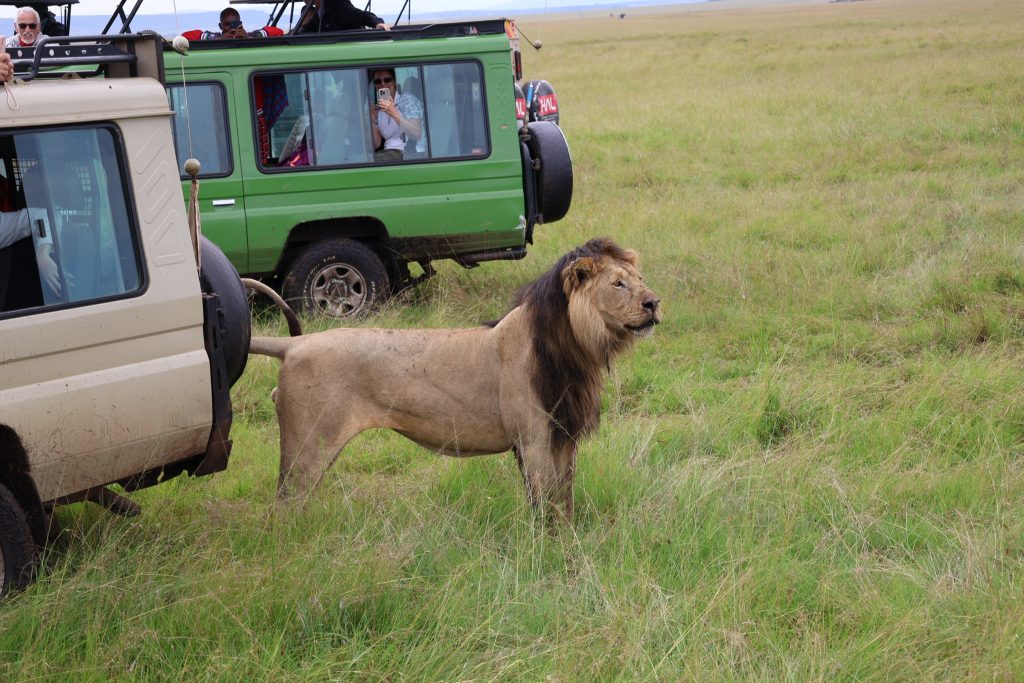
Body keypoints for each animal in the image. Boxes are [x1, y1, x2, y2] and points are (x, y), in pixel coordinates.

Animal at [248, 238, 661, 521]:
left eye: (640, 279)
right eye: (619, 284)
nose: (654, 303)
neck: (576, 349)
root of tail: (294, 344)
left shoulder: (564, 437)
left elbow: (565, 499)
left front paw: (568, 537)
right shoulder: (533, 439)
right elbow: (543, 503)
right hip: (306, 447)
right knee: (283, 507)